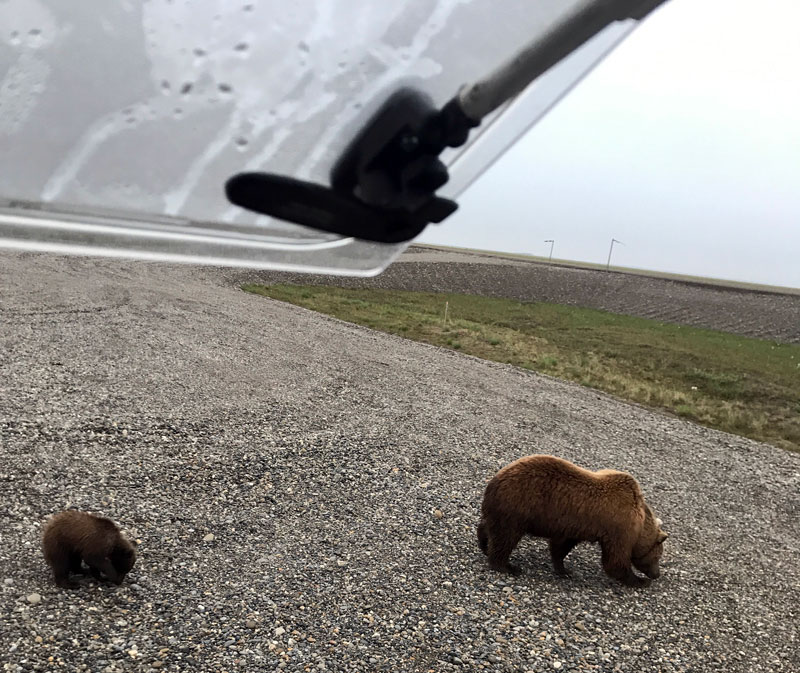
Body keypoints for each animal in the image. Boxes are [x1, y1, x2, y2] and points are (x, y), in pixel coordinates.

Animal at [476, 454, 668, 584]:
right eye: (657, 556)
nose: (656, 574)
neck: (640, 522)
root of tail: (495, 481)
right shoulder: (618, 527)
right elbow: (615, 560)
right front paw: (639, 580)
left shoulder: (575, 526)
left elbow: (561, 546)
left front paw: (564, 569)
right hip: (518, 506)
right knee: (506, 537)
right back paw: (507, 566)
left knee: (490, 527)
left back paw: (484, 544)